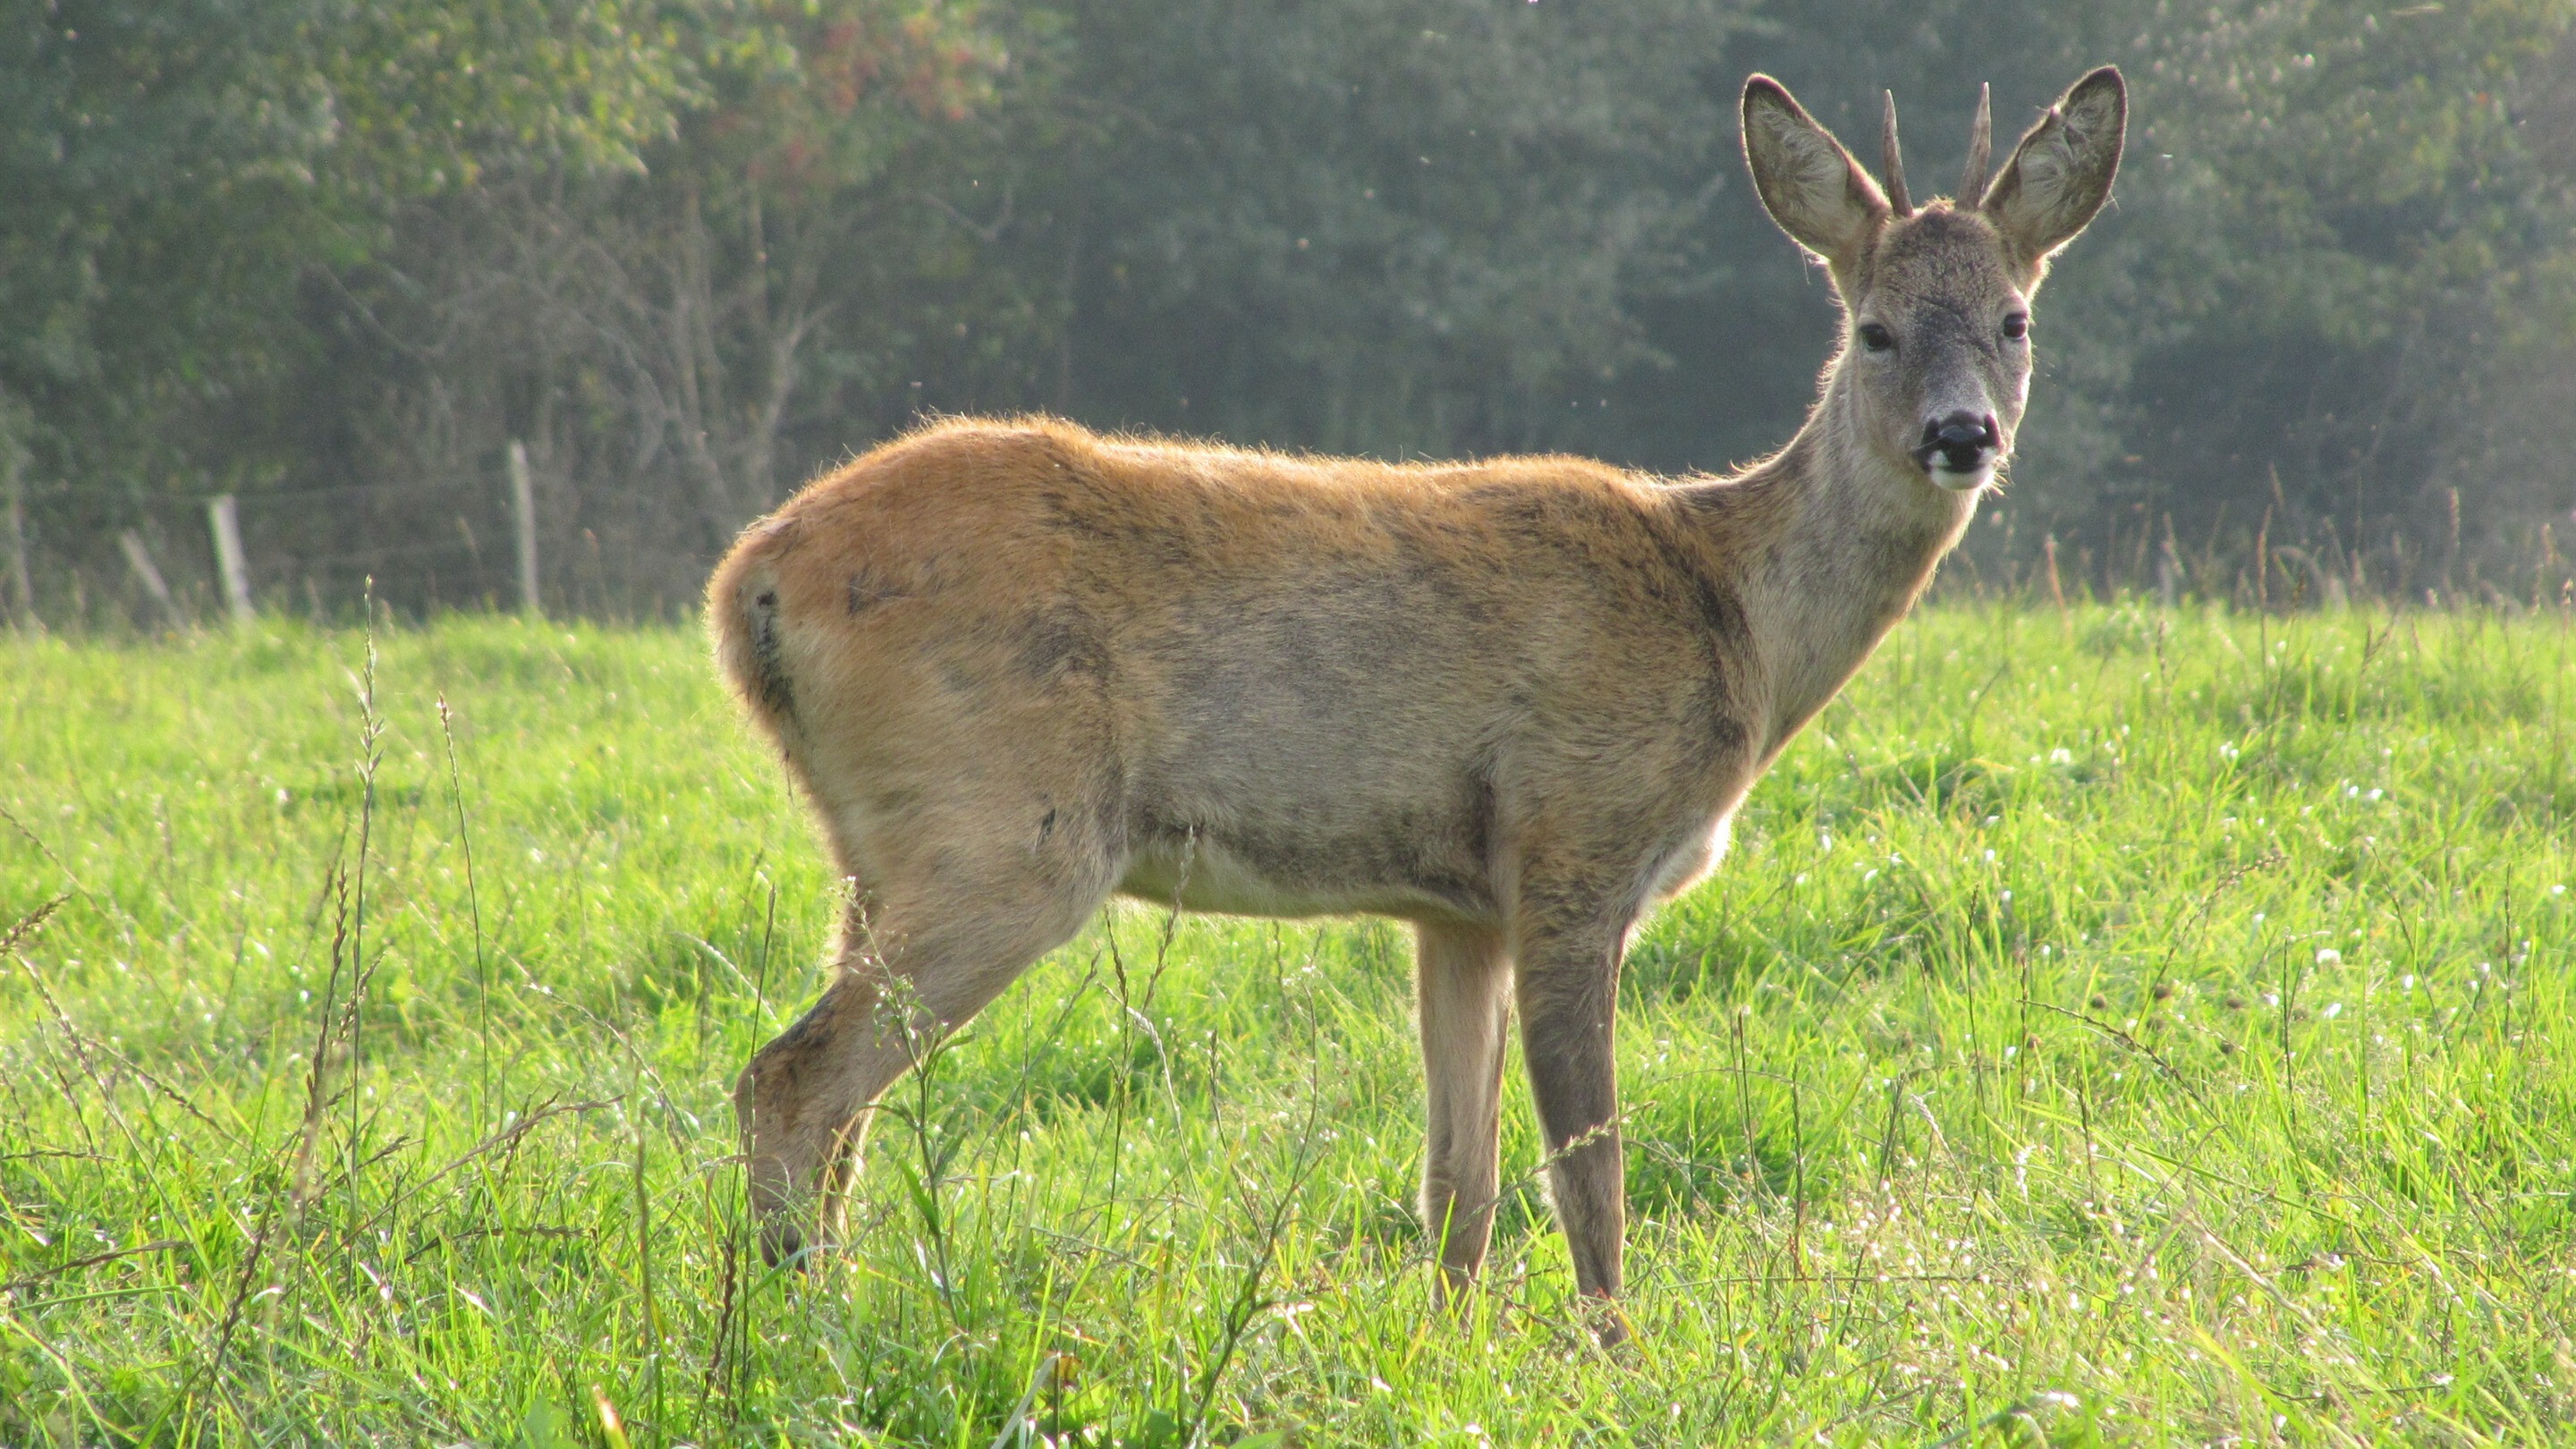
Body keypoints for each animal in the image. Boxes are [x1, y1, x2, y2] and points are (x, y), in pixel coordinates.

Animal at [707, 66, 2125, 1339]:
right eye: (1874, 329)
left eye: (2015, 321)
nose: (1962, 435)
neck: (1736, 616)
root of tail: (749, 583)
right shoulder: (1574, 842)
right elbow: (1589, 1168)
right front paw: (1620, 1357)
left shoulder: (1456, 912)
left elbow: (1461, 1186)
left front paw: (1447, 1351)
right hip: (1010, 828)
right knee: (794, 1077)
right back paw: (804, 1334)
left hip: (880, 849)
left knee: (840, 1103)